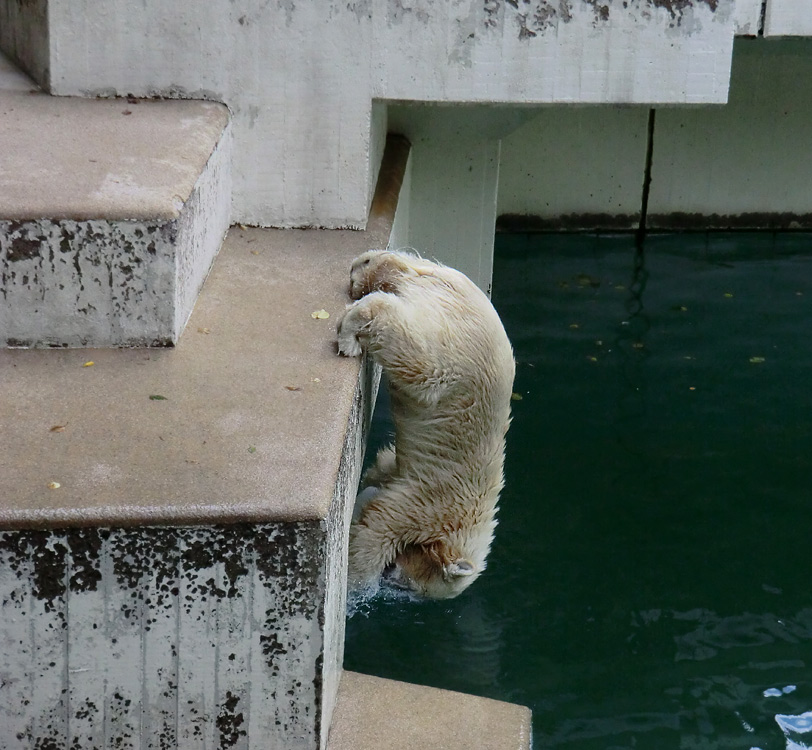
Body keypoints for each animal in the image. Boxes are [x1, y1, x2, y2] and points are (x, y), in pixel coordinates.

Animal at [336, 250, 512, 604]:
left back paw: (363, 272)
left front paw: (368, 487)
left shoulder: (399, 471)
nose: (392, 579)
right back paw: (352, 329)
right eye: (410, 584)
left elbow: (382, 473)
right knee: (413, 353)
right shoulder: (434, 501)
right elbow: (382, 524)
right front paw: (358, 583)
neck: (466, 520)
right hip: (451, 357)